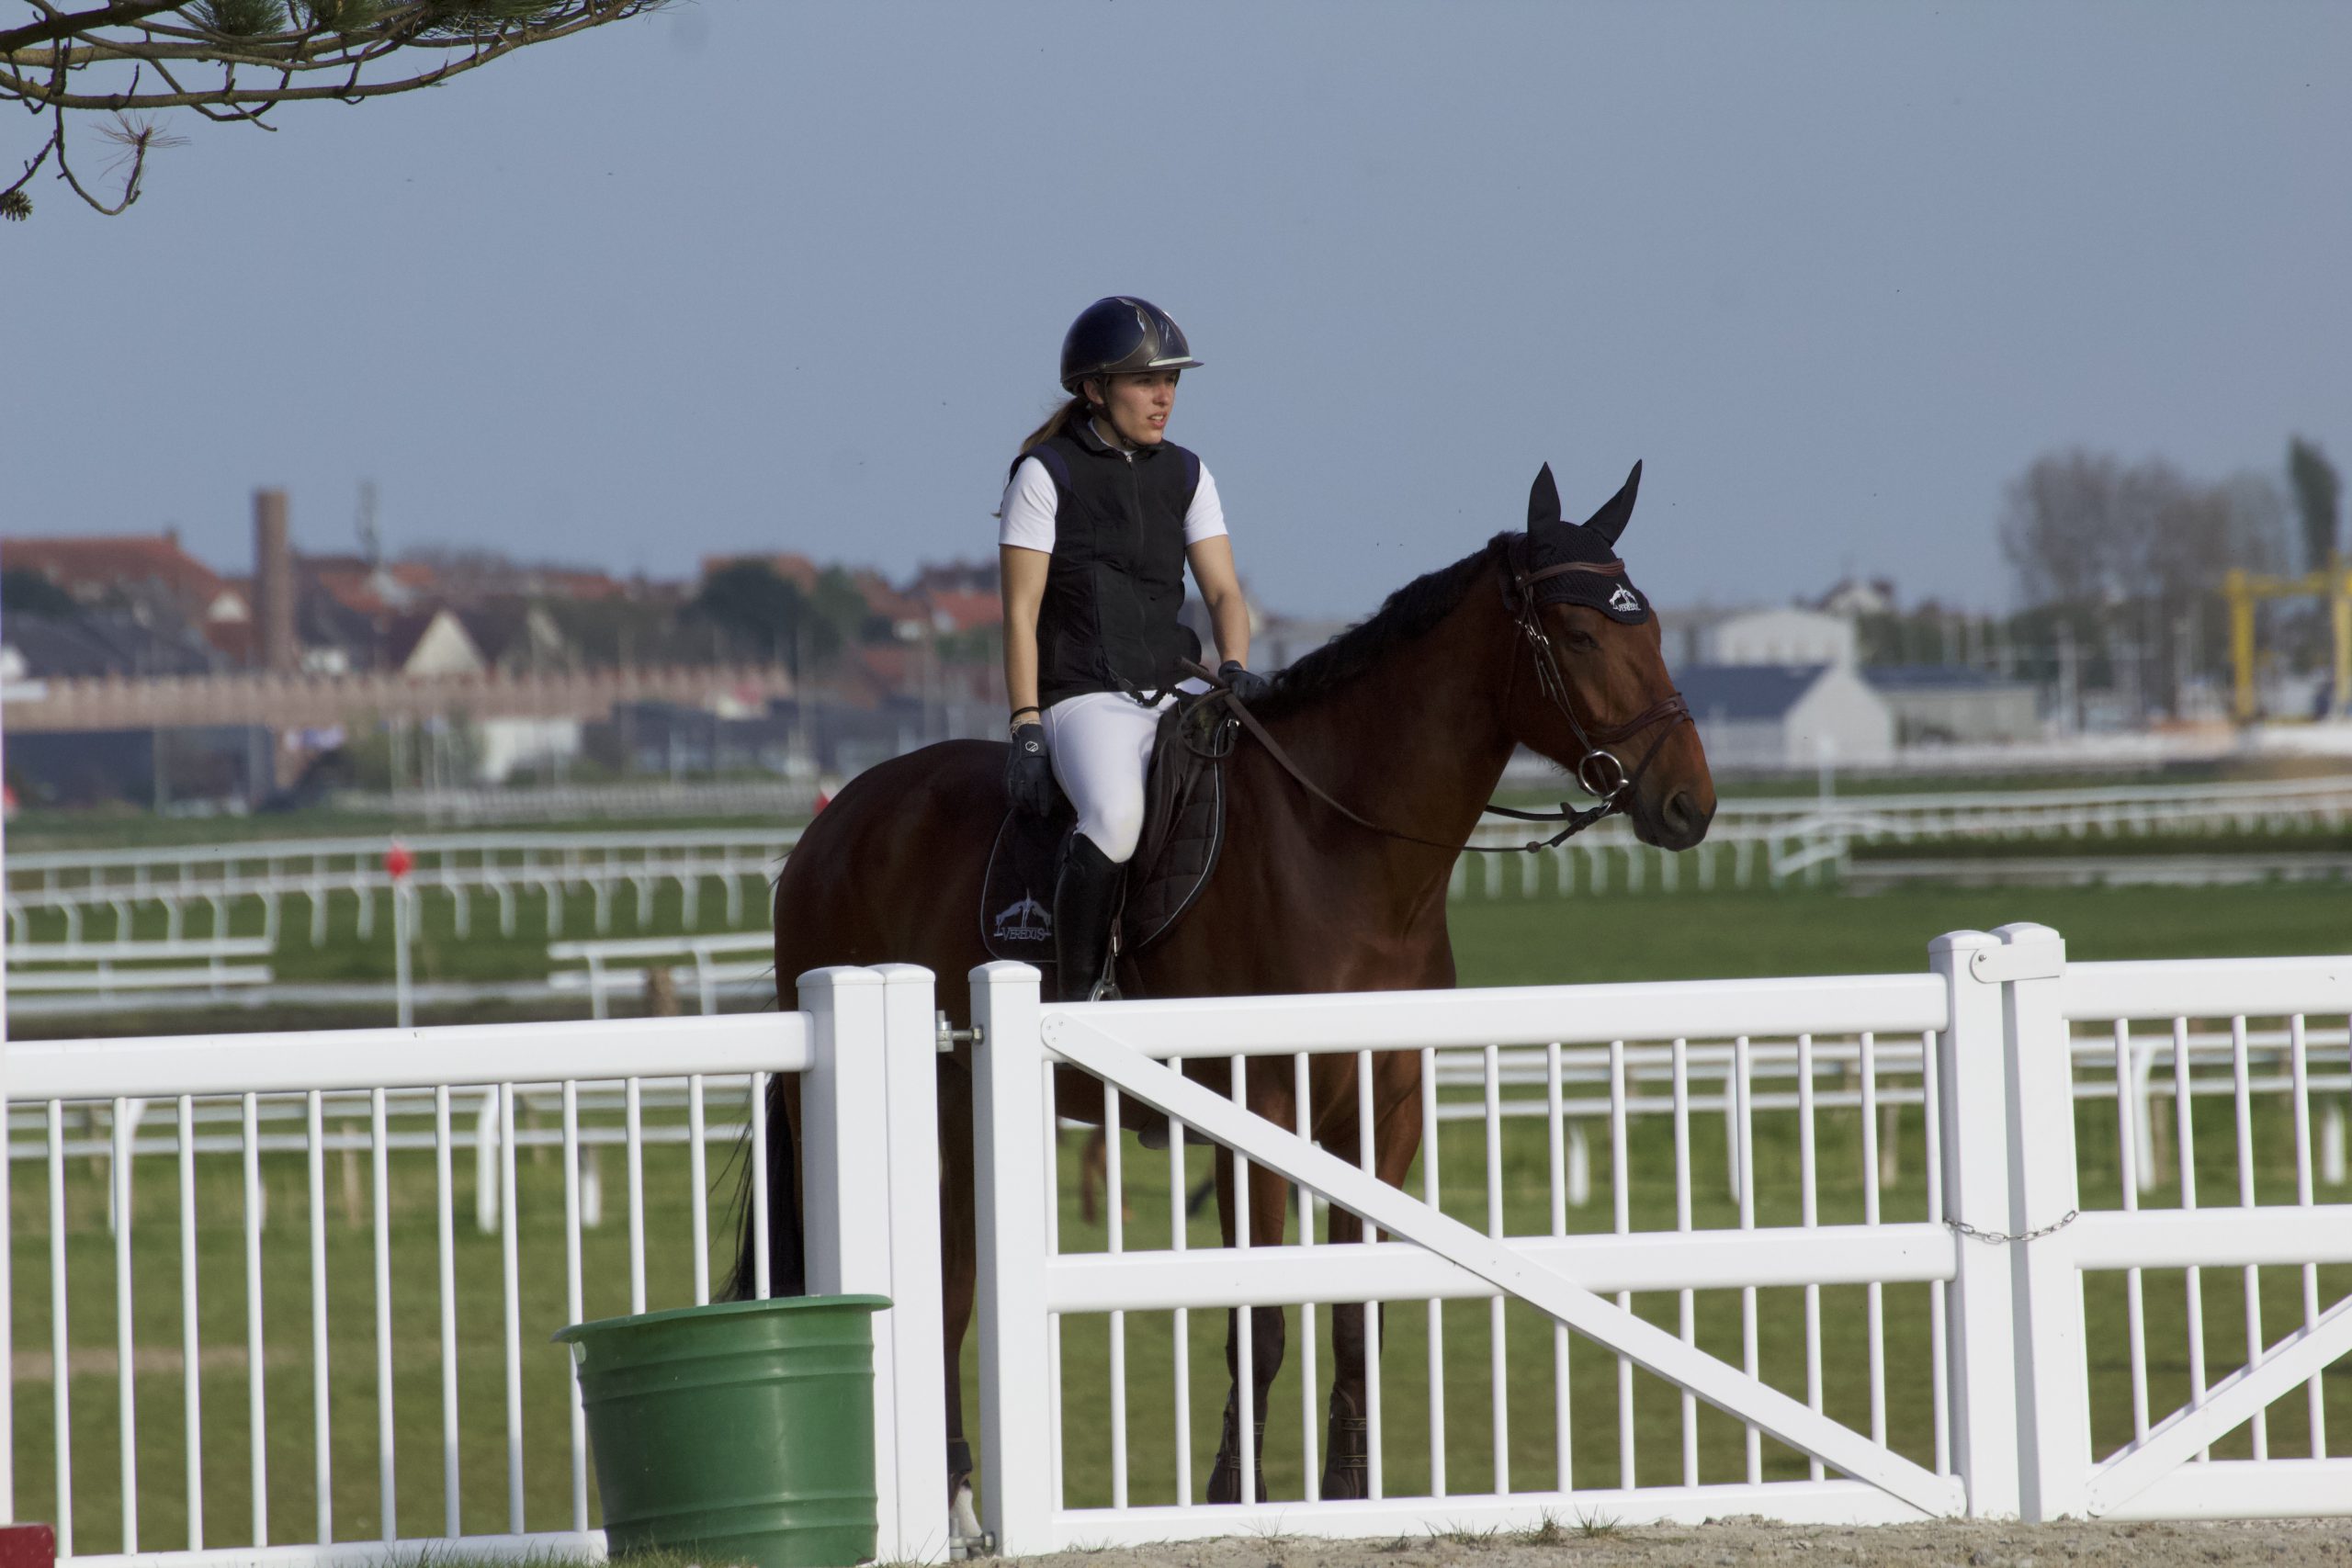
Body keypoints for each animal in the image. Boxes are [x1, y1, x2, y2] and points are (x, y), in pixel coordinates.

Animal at [734, 460, 1715, 1517]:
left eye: (1656, 627)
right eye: (1581, 636)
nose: (1689, 805)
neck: (1339, 847)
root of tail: (834, 824)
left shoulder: (1381, 1115)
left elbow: (1355, 1316)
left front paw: (1348, 1494)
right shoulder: (1262, 1111)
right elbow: (1263, 1319)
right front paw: (1232, 1491)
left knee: (952, 1285)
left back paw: (957, 1497)